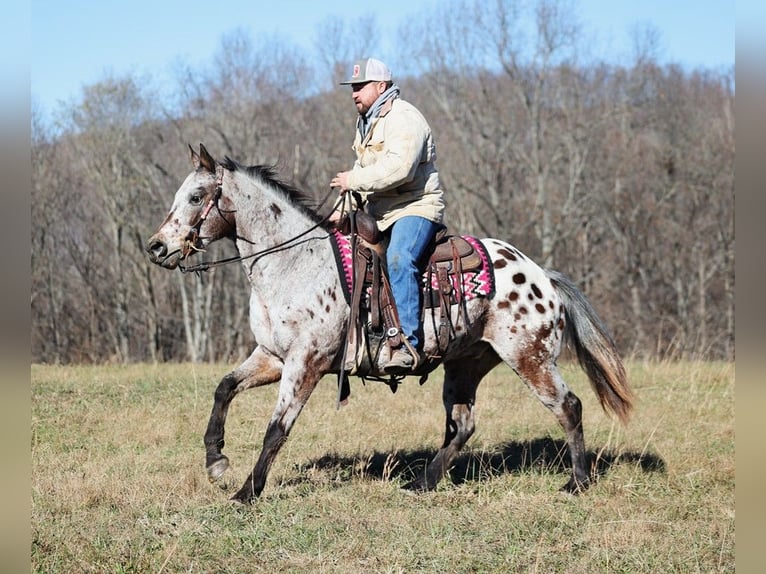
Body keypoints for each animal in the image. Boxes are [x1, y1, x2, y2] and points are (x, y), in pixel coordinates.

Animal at [146, 144, 636, 504]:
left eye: (195, 197)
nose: (155, 247)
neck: (295, 263)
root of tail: (541, 276)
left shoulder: (306, 363)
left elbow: (276, 429)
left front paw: (247, 493)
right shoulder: (272, 357)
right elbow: (224, 388)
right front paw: (216, 459)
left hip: (530, 357)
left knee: (568, 407)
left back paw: (576, 482)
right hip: (466, 365)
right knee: (463, 425)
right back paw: (422, 482)